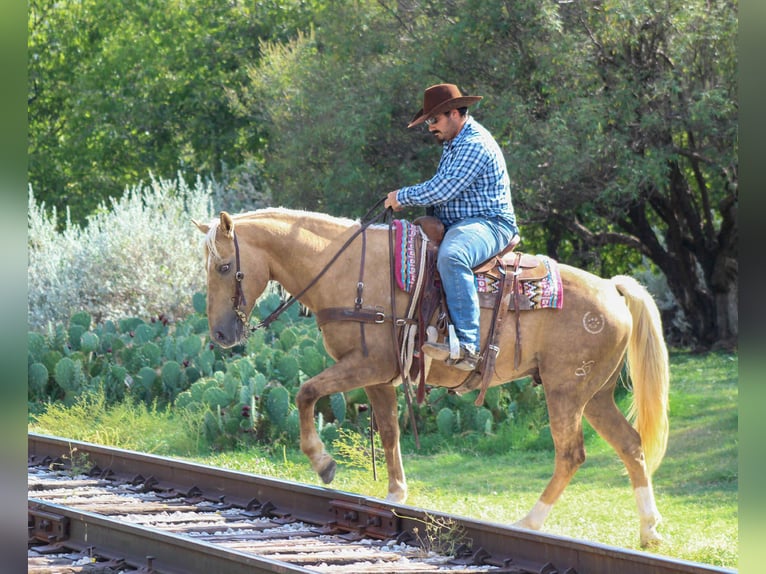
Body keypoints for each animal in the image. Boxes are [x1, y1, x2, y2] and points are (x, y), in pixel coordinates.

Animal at [193, 207, 670, 547]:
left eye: (223, 267)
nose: (220, 335)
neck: (349, 271)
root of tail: (613, 288)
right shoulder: (380, 378)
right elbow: (389, 433)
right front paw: (394, 496)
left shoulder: (366, 365)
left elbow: (305, 392)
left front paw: (323, 462)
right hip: (595, 396)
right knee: (631, 445)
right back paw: (649, 530)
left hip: (566, 392)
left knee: (571, 454)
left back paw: (530, 522)